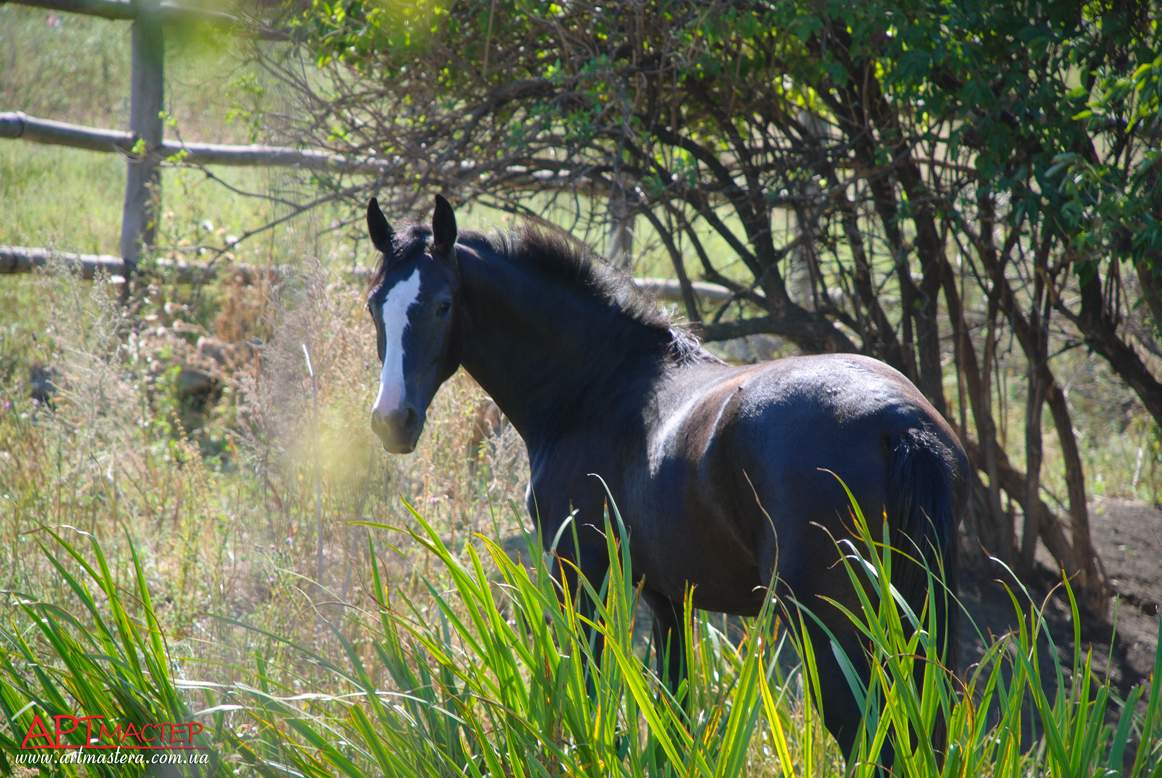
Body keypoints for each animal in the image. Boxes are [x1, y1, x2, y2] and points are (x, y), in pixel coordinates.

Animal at [364, 194, 966, 763]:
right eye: (375, 305)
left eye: (442, 305)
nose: (392, 421)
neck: (598, 386)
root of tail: (898, 419)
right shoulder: (669, 598)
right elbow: (673, 714)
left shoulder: (580, 576)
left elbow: (589, 690)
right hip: (918, 617)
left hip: (825, 625)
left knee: (869, 738)